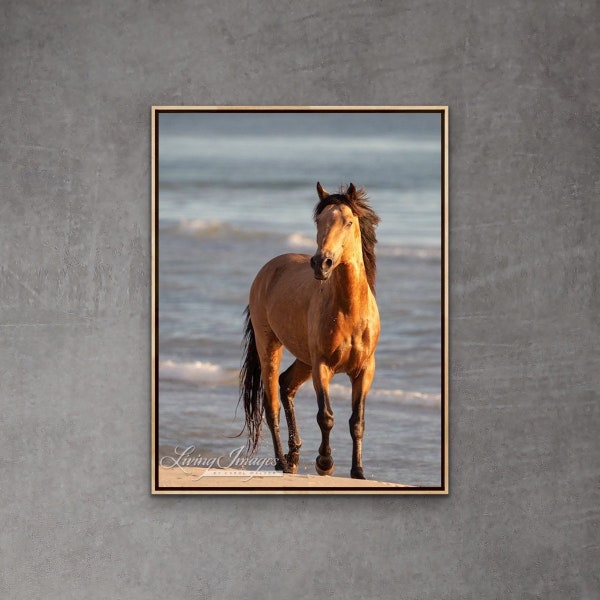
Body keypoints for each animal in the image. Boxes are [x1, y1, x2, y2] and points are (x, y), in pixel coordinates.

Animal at [239, 183, 380, 478]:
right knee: (271, 404)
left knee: (286, 385)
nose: (321, 263)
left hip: (303, 359)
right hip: (270, 347)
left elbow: (357, 421)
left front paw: (358, 471)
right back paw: (282, 462)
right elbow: (325, 416)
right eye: (319, 220)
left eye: (348, 222)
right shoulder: (322, 366)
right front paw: (324, 464)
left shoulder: (364, 370)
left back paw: (293, 457)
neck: (349, 310)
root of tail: (268, 269)